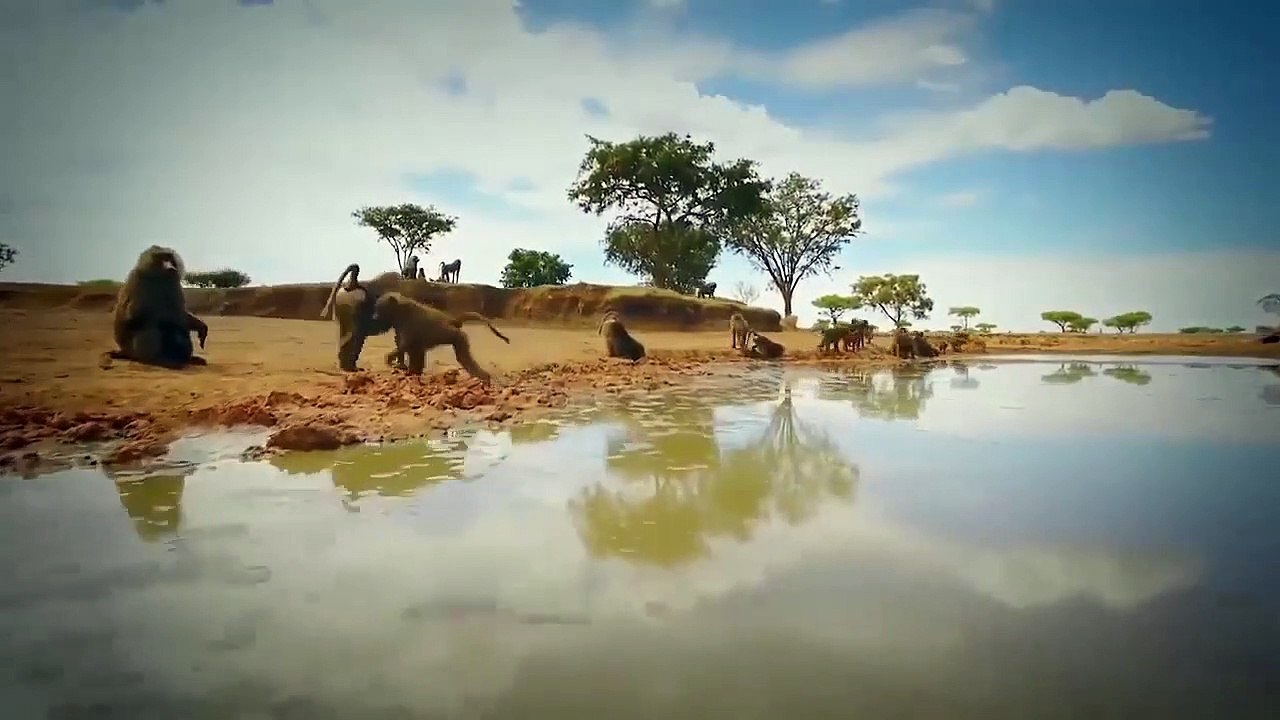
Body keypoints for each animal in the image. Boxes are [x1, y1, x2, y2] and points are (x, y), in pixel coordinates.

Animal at [370, 292, 508, 382]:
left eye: (378, 307)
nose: (374, 317)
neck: (399, 310)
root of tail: (452, 320)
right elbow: (407, 347)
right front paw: (406, 370)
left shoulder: (408, 324)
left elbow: (405, 345)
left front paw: (392, 360)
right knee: (462, 358)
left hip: (456, 336)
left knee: (463, 358)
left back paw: (484, 379)